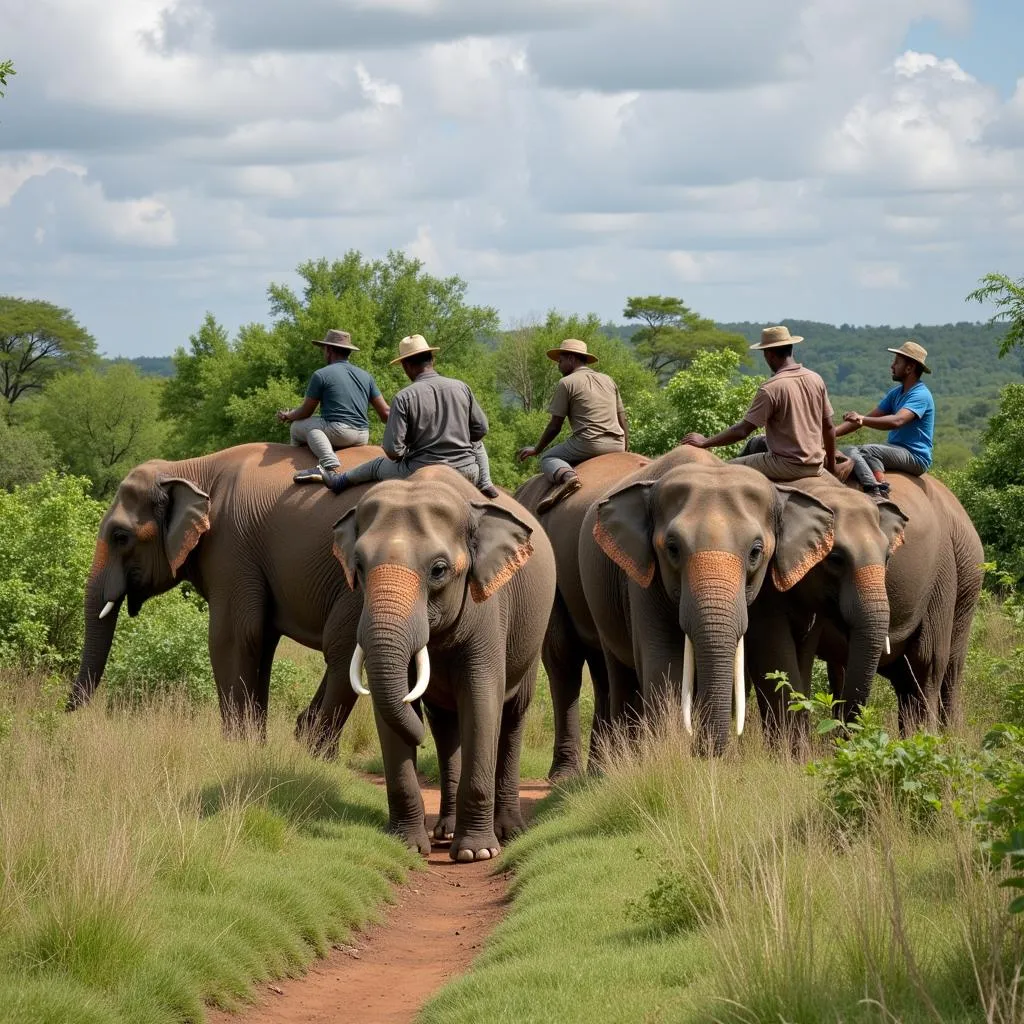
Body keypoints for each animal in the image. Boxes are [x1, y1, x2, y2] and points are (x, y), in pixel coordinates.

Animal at [69, 440, 385, 745]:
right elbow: (261, 639)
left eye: (120, 537)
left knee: (341, 650)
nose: (65, 712)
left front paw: (236, 747)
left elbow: (232, 637)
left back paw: (315, 749)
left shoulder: (230, 546)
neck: (187, 469)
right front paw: (254, 747)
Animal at [329, 464, 557, 856]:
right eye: (358, 565)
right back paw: (445, 832)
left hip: (532, 637)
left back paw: (508, 831)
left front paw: (475, 852)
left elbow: (482, 699)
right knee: (446, 728)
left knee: (513, 716)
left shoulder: (488, 607)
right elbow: (390, 708)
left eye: (438, 570)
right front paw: (408, 846)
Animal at [577, 446, 839, 753]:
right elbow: (663, 663)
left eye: (755, 552)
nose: (705, 752)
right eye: (673, 549)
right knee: (620, 675)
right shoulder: (642, 581)